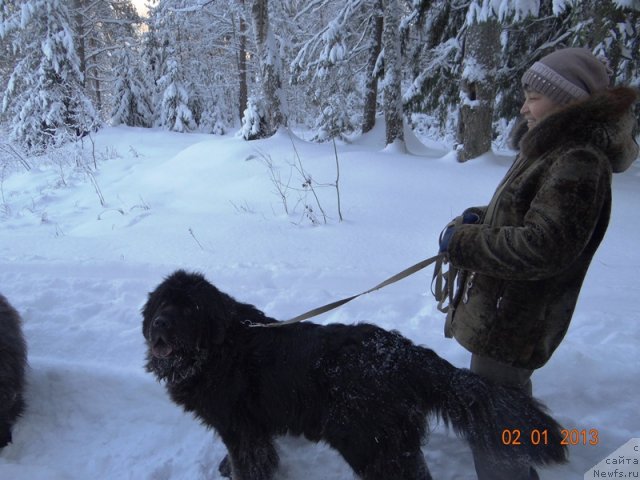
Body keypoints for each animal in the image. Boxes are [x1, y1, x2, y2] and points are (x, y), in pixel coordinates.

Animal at [144, 270, 564, 480]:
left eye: (189, 308)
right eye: (162, 304)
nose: (160, 323)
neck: (215, 349)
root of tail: (404, 353)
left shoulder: (238, 426)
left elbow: (250, 461)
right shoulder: (253, 428)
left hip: (366, 440)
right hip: (389, 441)